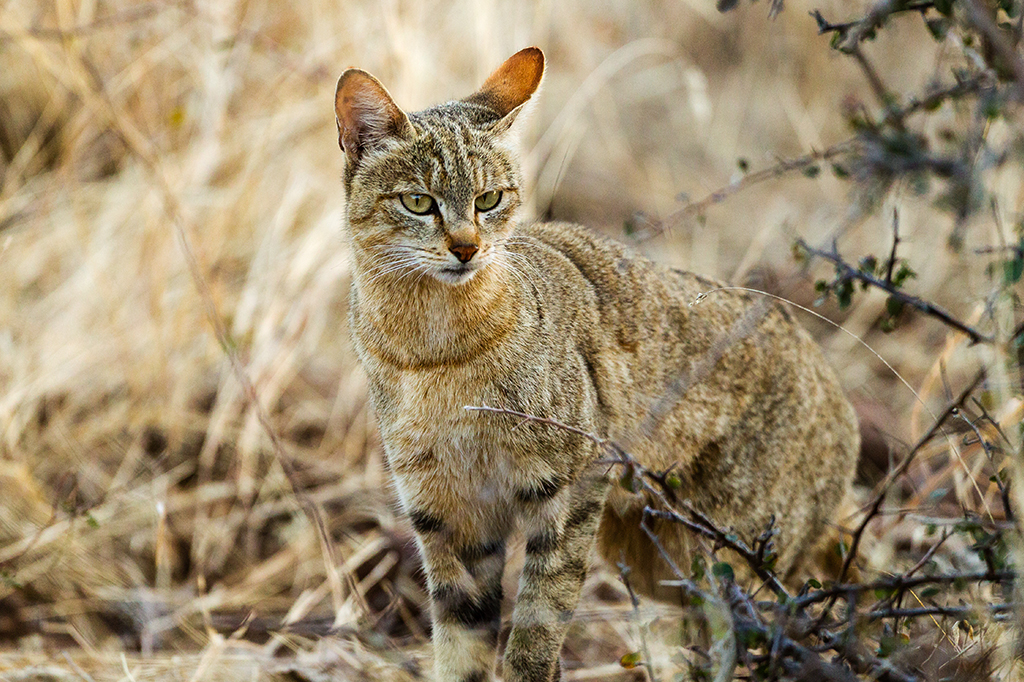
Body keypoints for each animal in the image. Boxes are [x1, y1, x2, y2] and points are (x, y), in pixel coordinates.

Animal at [333, 47, 856, 679]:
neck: (430, 349)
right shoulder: (446, 512)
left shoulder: (572, 485)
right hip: (658, 558)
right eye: (418, 202)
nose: (466, 248)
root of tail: (837, 389)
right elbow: (461, 645)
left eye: (489, 199)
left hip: (726, 561)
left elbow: (538, 628)